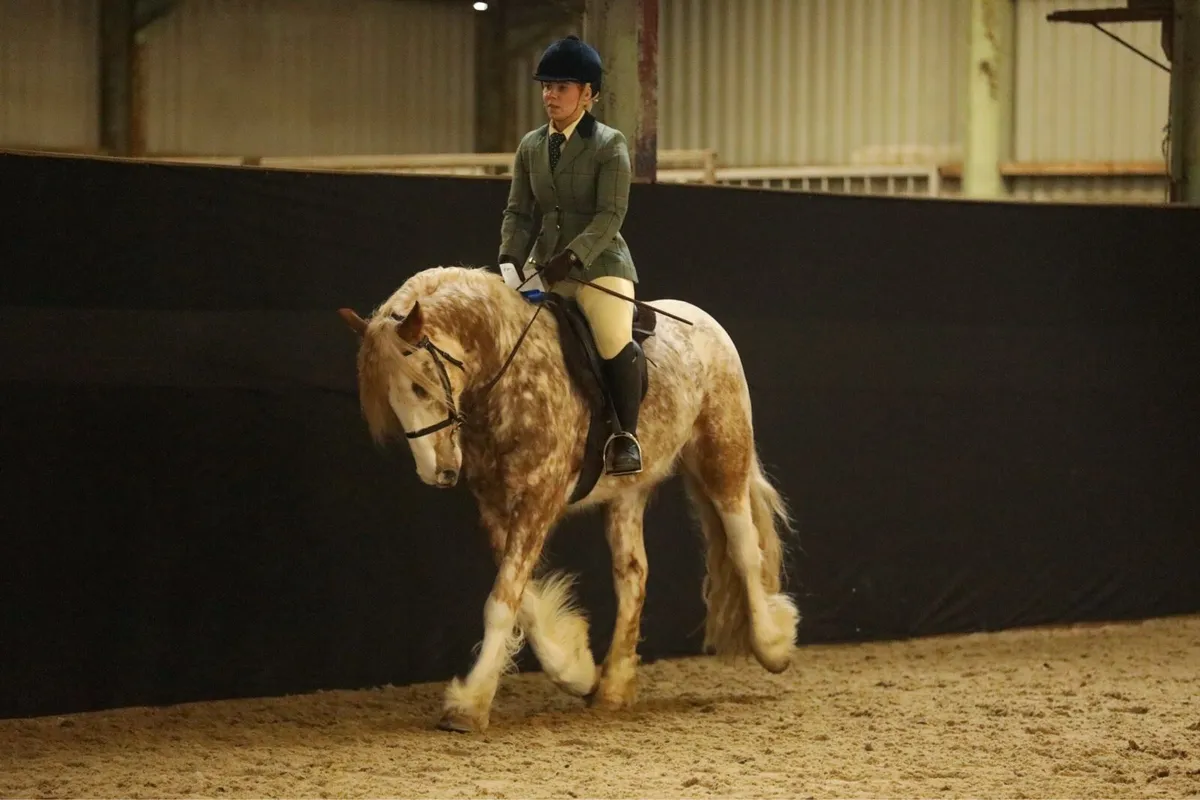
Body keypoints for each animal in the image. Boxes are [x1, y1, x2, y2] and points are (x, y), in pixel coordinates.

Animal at [337, 265, 799, 733]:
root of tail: (705, 321)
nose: (438, 472)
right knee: (633, 574)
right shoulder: (495, 508)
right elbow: (520, 599)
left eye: (420, 387)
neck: (511, 374)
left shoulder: (540, 498)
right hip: (628, 491)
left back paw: (773, 646)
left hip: (723, 457)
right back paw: (613, 687)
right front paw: (576, 671)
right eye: (391, 397)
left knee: (745, 550)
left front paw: (469, 705)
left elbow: (502, 601)